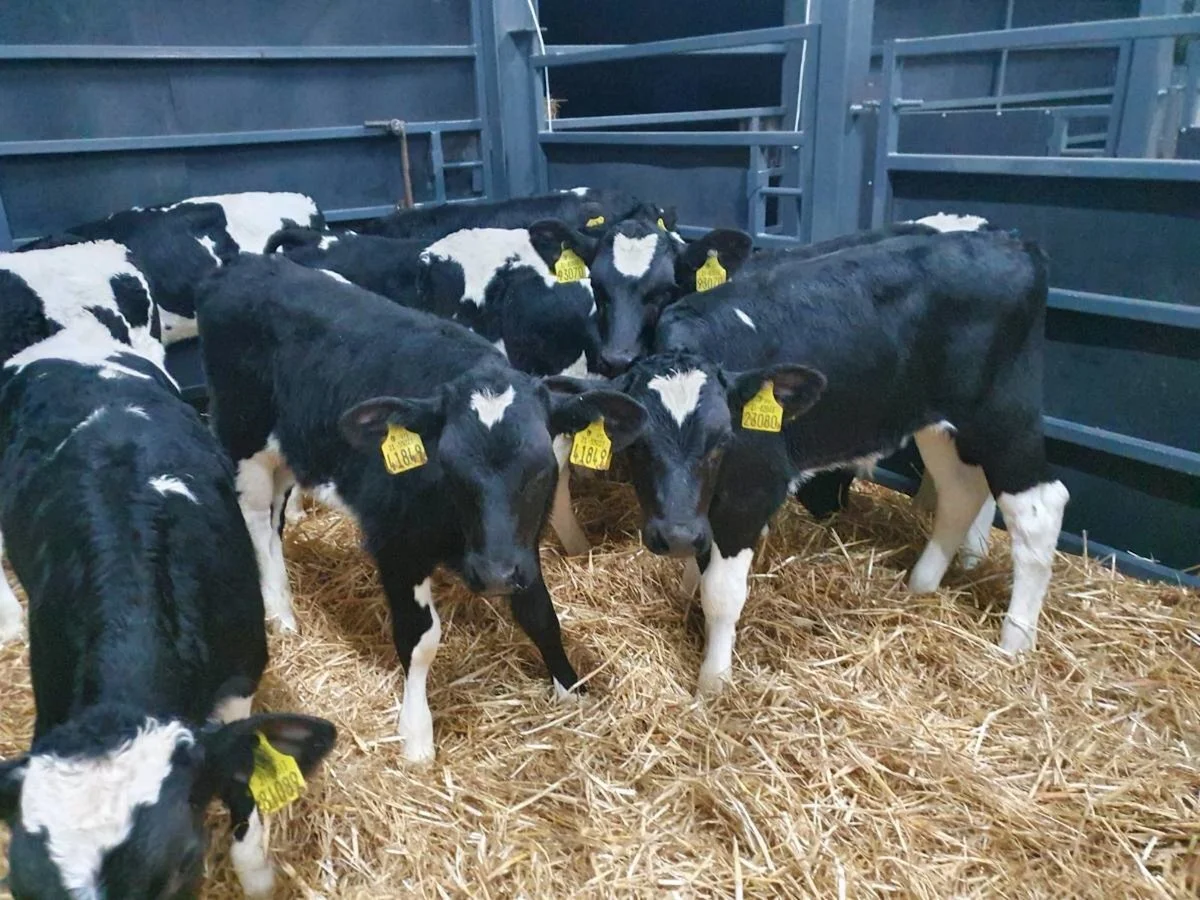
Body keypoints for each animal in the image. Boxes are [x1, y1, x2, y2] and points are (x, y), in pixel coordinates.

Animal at [194, 255, 647, 762]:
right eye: (448, 465)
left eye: (541, 468)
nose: (493, 574)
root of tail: (242, 264)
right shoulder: (395, 544)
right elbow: (420, 638)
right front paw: (416, 734)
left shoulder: (520, 545)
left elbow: (541, 615)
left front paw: (571, 690)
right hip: (242, 435)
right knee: (256, 520)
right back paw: (282, 614)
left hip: (295, 445)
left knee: (276, 514)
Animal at [551, 229, 1065, 693]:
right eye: (637, 445)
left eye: (722, 440)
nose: (675, 535)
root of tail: (1014, 243)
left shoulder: (752, 488)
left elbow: (721, 594)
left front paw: (713, 684)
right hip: (935, 422)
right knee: (961, 491)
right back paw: (921, 586)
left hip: (1004, 414)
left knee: (1040, 509)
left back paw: (1014, 642)